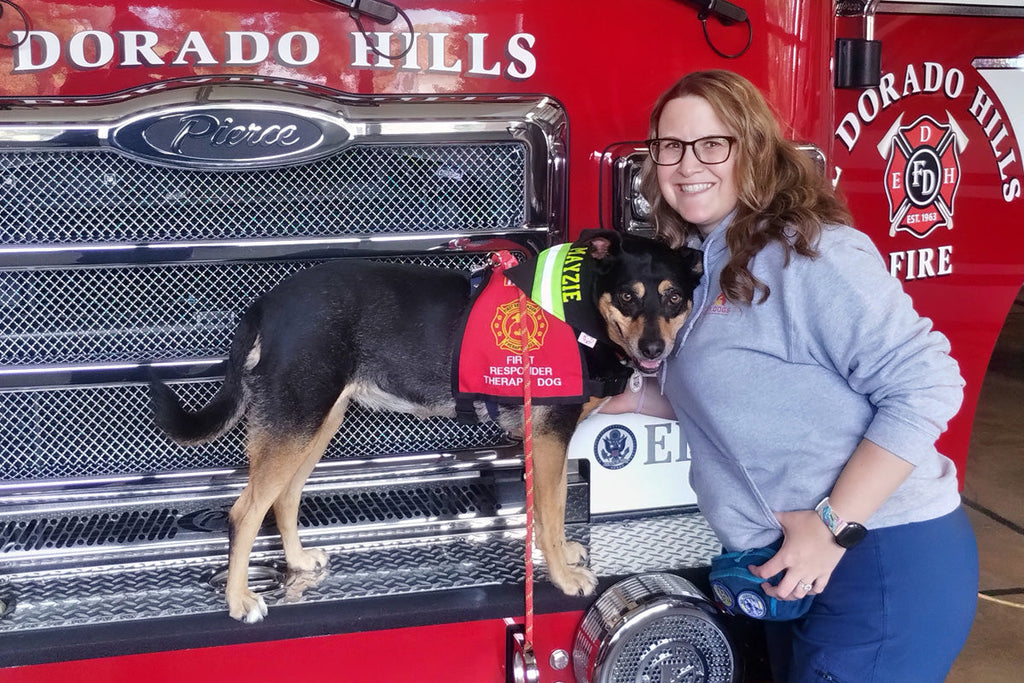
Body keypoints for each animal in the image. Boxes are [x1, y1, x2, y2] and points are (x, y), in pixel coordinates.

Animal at [149, 231, 704, 626]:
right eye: (628, 298)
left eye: (675, 298)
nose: (654, 350)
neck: (583, 304)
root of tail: (267, 304)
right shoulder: (550, 435)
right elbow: (552, 510)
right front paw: (565, 579)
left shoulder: (540, 440)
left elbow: (546, 510)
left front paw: (558, 555)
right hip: (295, 422)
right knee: (244, 512)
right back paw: (239, 599)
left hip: (317, 422)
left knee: (284, 498)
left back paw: (298, 560)